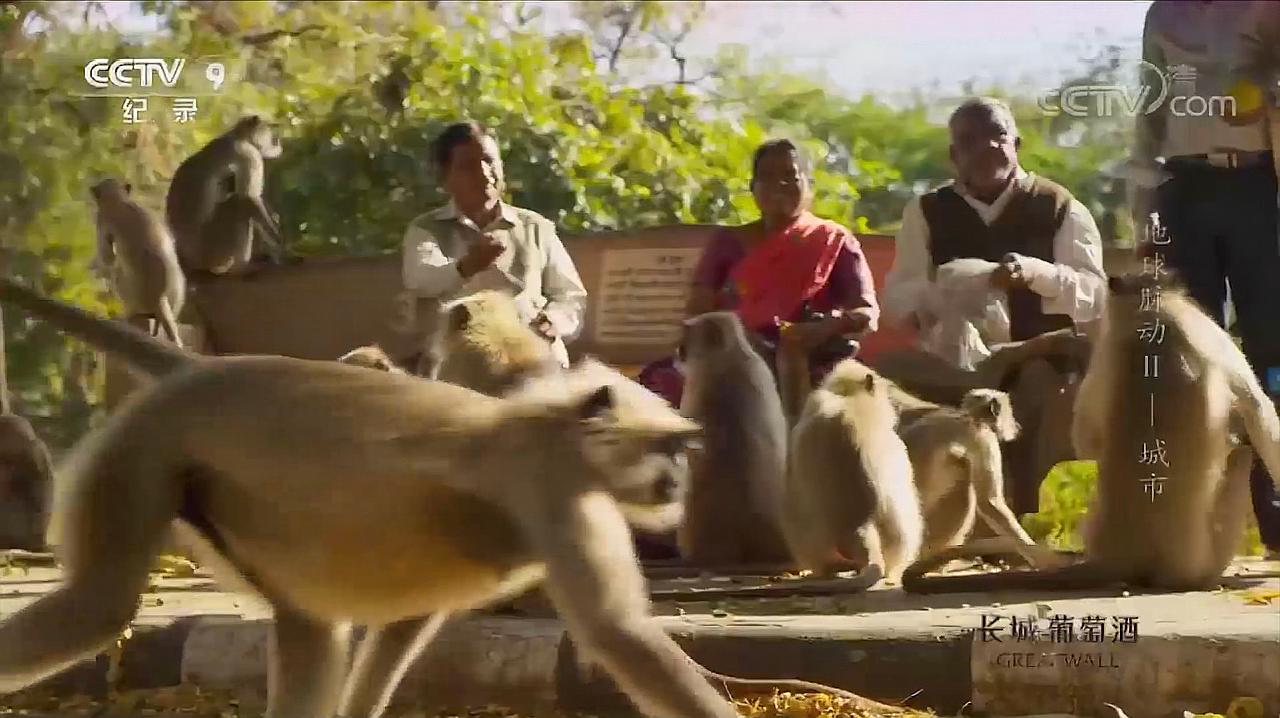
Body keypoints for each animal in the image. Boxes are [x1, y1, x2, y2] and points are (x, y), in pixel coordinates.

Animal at [88, 177, 185, 348]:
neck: (118, 200)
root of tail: (158, 297)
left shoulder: (101, 219)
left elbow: (107, 258)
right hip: (176, 292)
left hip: (134, 295)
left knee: (117, 273)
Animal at [165, 114, 285, 273]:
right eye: (271, 127)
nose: (277, 138)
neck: (238, 136)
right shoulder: (249, 154)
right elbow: (250, 197)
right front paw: (280, 242)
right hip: (211, 248)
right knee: (237, 202)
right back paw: (242, 266)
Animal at [901, 271, 1280, 591]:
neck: (1149, 317)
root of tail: (1122, 556)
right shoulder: (1208, 332)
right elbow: (1260, 412)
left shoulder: (1105, 350)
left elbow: (1087, 440)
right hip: (1208, 548)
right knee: (1243, 451)